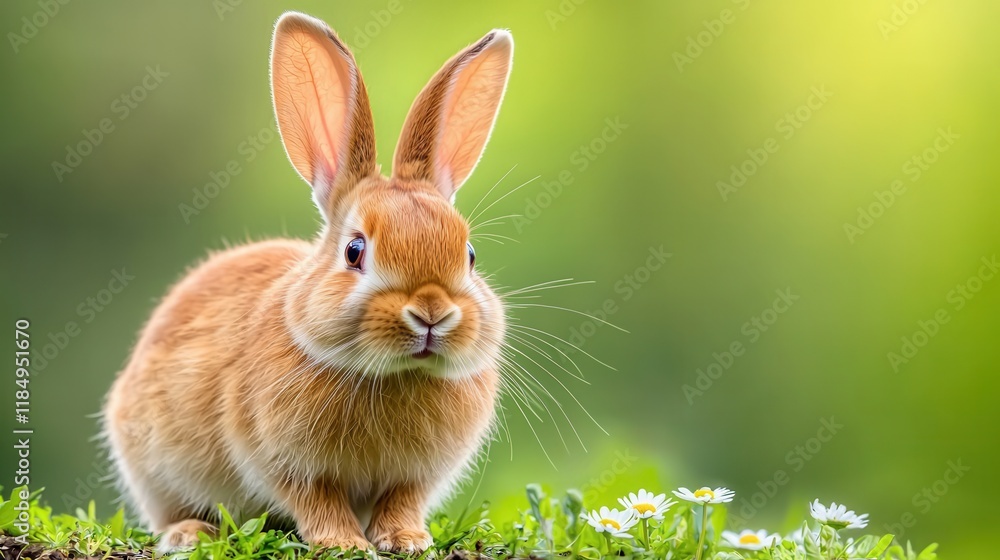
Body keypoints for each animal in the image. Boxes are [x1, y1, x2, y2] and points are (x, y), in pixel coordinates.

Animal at [102, 11, 512, 554]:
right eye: (355, 251)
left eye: (469, 256)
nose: (431, 312)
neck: (393, 374)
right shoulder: (284, 462)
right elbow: (317, 500)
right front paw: (344, 544)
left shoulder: (414, 478)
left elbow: (401, 501)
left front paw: (405, 540)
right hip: (152, 467)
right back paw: (189, 533)